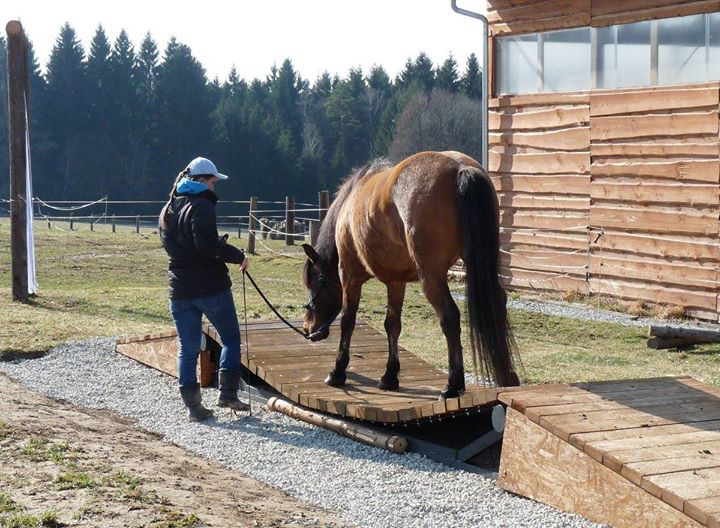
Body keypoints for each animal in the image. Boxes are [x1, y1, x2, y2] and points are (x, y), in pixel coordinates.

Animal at [300, 151, 520, 398]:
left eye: (312, 282)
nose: (308, 329)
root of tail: (460, 169)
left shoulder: (349, 275)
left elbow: (348, 319)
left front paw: (338, 371)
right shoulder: (396, 282)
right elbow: (392, 324)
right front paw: (389, 375)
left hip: (430, 277)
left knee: (449, 316)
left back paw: (453, 384)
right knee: (497, 302)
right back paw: (506, 376)